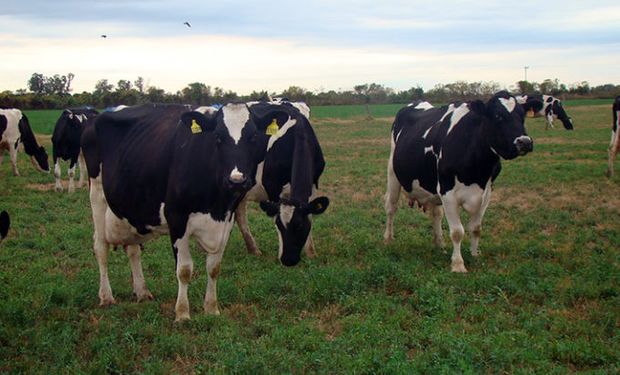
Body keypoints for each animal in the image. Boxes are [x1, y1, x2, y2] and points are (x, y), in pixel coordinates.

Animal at [83, 101, 310, 322]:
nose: (237, 180)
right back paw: (106, 296)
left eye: (253, 137)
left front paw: (211, 308)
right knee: (100, 247)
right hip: (97, 196)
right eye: (218, 138)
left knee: (133, 249)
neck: (215, 203)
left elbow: (214, 268)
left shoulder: (226, 220)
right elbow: (184, 270)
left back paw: (141, 291)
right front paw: (183, 314)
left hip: (130, 209)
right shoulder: (176, 218)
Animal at [234, 100, 330, 264]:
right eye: (279, 225)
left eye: (299, 226)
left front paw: (311, 253)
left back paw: (253, 249)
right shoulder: (272, 186)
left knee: (240, 215)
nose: (288, 260)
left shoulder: (314, 184)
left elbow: (311, 214)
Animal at [382, 91, 536, 274]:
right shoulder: (448, 192)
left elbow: (476, 228)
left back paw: (439, 244)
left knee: (436, 214)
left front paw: (475, 255)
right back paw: (388, 238)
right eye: (498, 116)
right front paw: (457, 264)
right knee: (391, 208)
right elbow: (457, 231)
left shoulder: (486, 193)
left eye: (522, 116)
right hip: (393, 174)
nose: (525, 142)